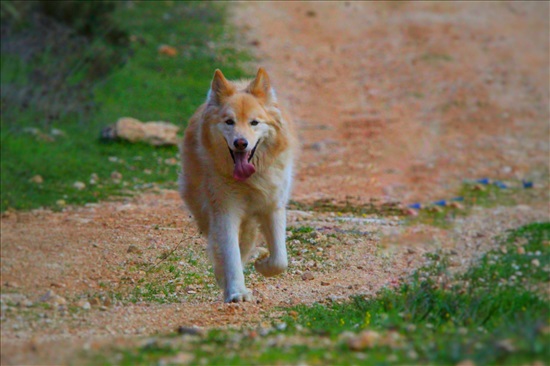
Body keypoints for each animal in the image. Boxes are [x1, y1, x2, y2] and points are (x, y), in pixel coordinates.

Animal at [180, 67, 298, 302]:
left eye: (254, 122)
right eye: (229, 122)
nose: (241, 143)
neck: (250, 180)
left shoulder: (273, 207)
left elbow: (280, 260)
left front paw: (263, 266)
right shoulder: (225, 211)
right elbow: (229, 253)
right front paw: (236, 292)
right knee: (221, 245)